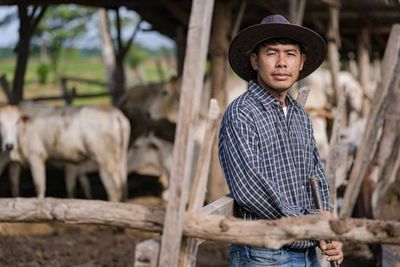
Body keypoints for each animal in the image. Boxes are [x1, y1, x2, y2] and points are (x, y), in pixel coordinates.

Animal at [0, 104, 130, 203]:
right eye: (0, 123)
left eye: (17, 122)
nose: (9, 145)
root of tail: (114, 112)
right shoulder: (14, 163)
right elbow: (14, 183)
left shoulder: (36, 157)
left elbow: (39, 186)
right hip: (121, 159)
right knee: (122, 185)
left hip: (105, 161)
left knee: (114, 189)